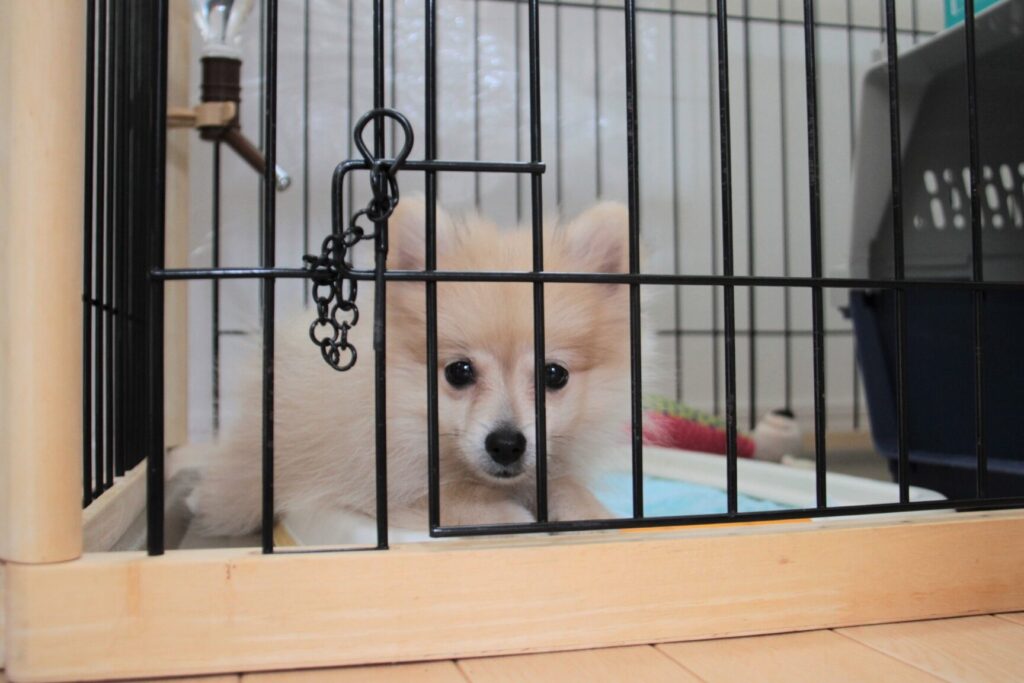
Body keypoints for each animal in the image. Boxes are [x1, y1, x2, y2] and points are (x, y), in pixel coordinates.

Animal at [188, 198, 641, 537]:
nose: (507, 444)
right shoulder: (374, 482)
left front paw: (594, 510)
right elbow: (443, 496)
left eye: (554, 375)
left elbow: (565, 484)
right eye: (458, 372)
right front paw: (507, 512)